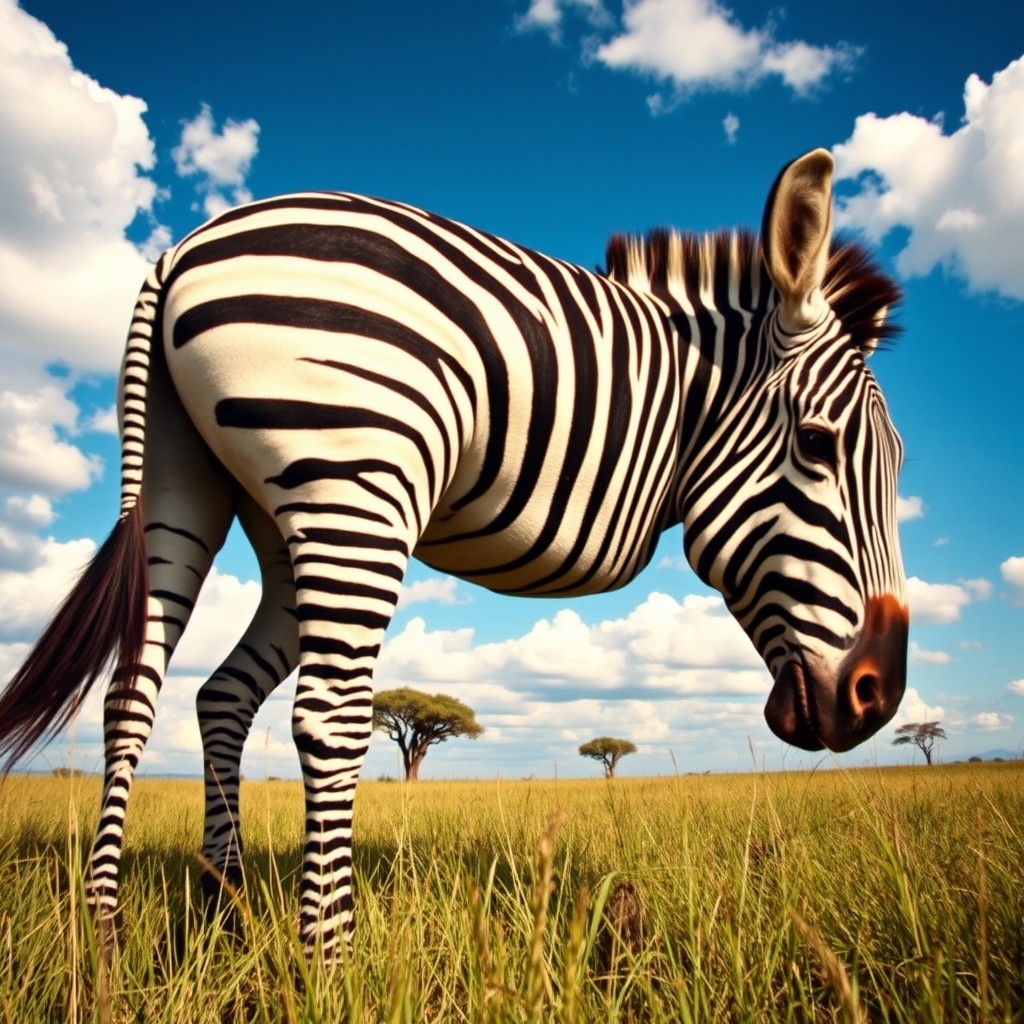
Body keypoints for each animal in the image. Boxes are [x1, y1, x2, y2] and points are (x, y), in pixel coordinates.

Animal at [0, 149, 908, 961]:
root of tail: (176, 252)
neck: (686, 401)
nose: (880, 698)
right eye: (819, 445)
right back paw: (329, 963)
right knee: (325, 718)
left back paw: (155, 927)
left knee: (160, 695)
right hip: (354, 489)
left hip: (195, 489)